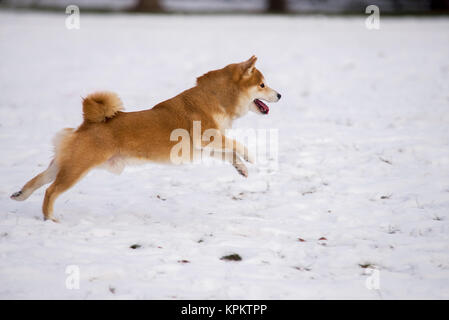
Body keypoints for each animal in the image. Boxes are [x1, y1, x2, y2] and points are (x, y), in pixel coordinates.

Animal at [10, 56, 280, 221]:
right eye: (262, 85)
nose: (280, 95)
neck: (215, 98)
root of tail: (89, 122)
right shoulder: (208, 137)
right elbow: (235, 144)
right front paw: (249, 156)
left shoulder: (208, 146)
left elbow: (229, 154)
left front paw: (241, 168)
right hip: (78, 168)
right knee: (50, 190)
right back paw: (49, 218)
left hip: (65, 164)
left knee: (39, 179)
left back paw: (20, 195)